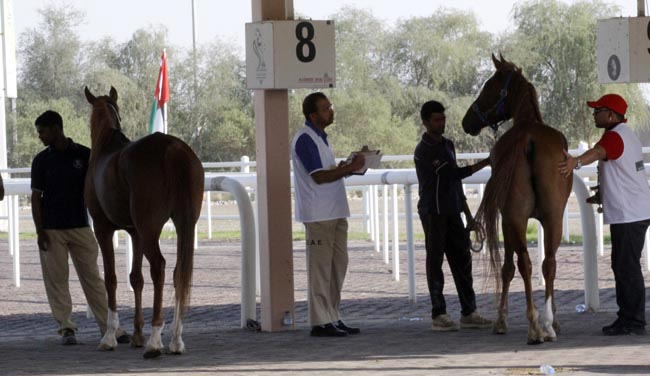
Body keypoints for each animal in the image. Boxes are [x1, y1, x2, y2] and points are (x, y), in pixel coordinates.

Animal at [83, 86, 204, 356]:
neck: (107, 145)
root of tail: (172, 149)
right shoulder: (134, 232)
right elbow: (136, 278)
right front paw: (137, 334)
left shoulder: (103, 229)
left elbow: (111, 279)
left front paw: (110, 336)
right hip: (184, 225)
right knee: (179, 272)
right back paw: (175, 340)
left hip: (150, 230)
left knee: (159, 267)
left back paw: (156, 340)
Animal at [460, 55, 568, 344]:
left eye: (489, 85)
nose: (467, 121)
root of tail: (529, 140)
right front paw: (554, 318)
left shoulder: (507, 220)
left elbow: (508, 267)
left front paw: (501, 320)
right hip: (553, 218)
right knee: (548, 264)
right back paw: (548, 325)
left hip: (516, 218)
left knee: (525, 264)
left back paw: (534, 327)